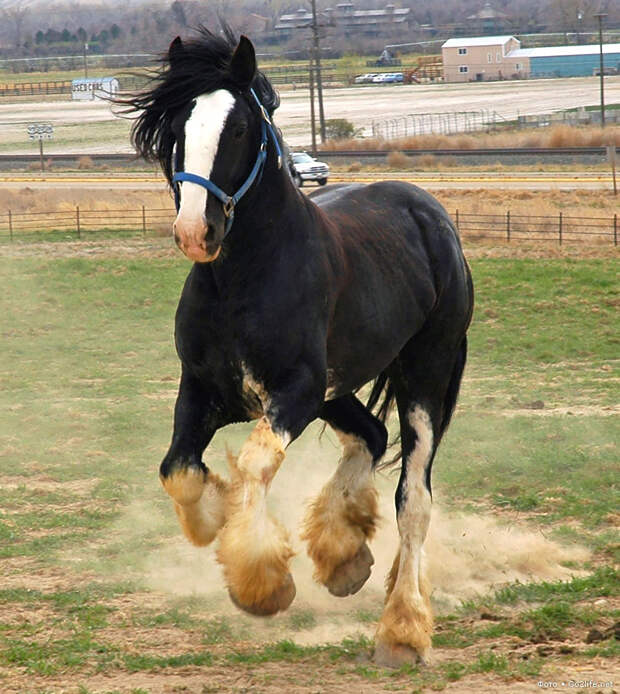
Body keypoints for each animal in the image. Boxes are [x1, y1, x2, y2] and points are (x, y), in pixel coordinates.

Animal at [126, 29, 474, 672]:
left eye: (239, 128)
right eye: (179, 126)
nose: (195, 232)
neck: (242, 280)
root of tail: (428, 211)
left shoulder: (293, 392)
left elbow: (256, 462)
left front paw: (261, 583)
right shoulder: (202, 390)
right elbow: (180, 473)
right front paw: (219, 519)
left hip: (423, 375)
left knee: (413, 496)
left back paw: (403, 629)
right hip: (338, 388)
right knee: (371, 437)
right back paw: (345, 559)